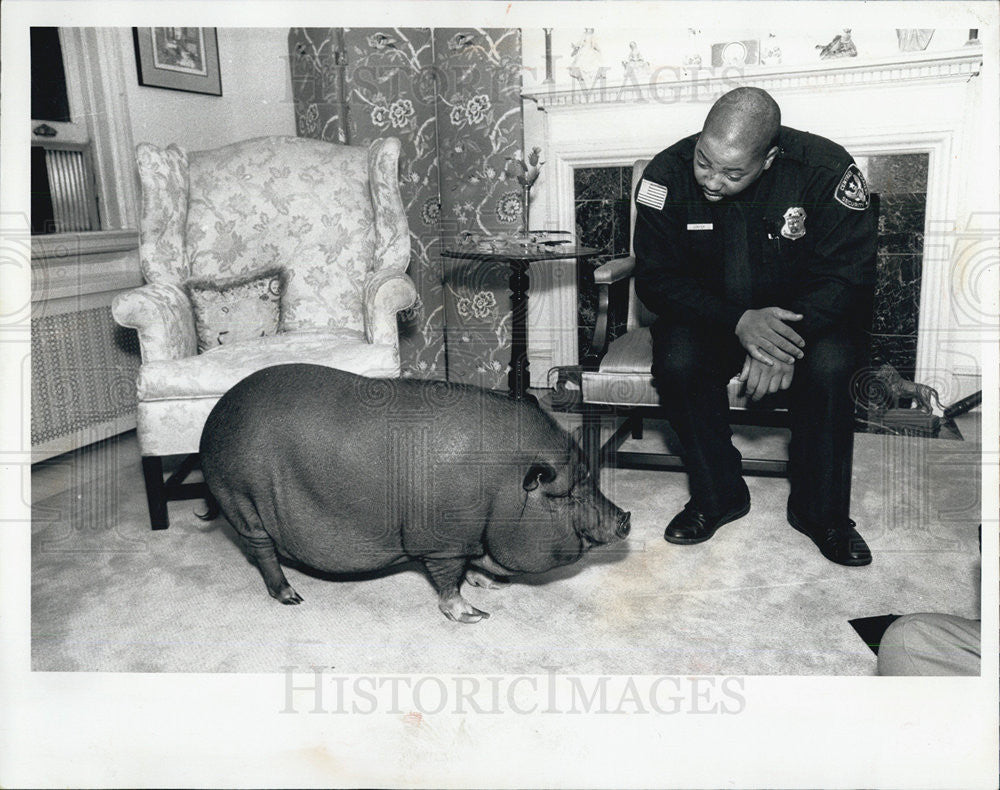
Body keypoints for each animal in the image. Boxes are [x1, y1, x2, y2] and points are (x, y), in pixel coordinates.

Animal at [199, 366, 628, 624]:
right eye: (564, 495)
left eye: (589, 478)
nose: (625, 518)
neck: (501, 486)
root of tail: (215, 418)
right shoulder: (443, 542)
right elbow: (448, 580)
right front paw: (476, 615)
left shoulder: (467, 538)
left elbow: (470, 567)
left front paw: (492, 585)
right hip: (241, 499)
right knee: (262, 550)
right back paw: (292, 597)